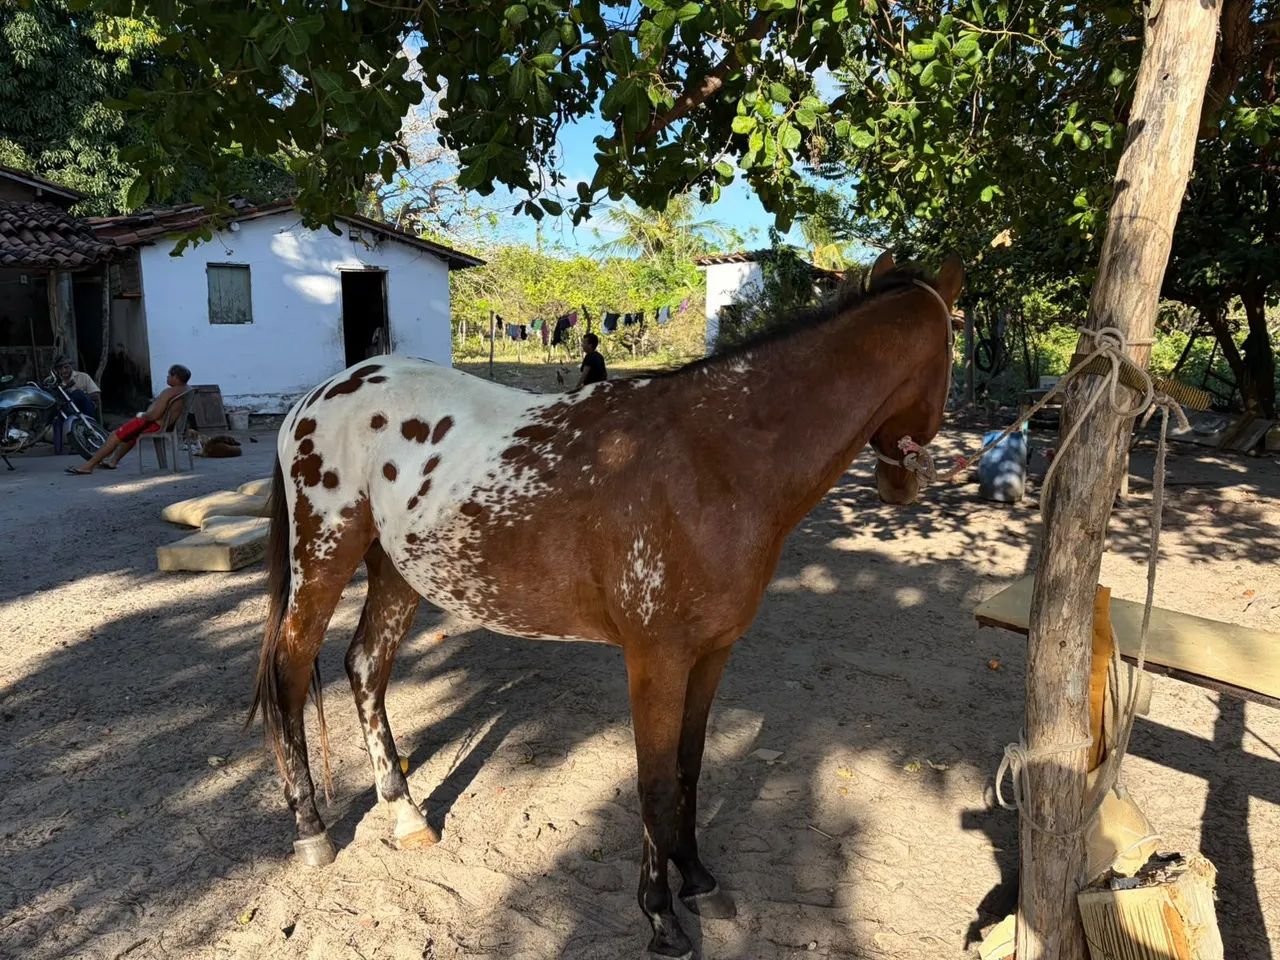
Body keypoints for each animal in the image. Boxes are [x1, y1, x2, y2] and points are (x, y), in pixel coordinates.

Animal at [249, 251, 962, 959]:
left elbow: (689, 767)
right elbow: (654, 781)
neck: (718, 459)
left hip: (397, 572)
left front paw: (697, 878)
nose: (902, 487)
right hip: (324, 560)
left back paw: (405, 815)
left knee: (365, 668)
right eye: (954, 352)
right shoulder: (656, 658)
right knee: (290, 674)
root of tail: (316, 399)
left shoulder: (712, 654)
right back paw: (311, 829)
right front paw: (660, 917)